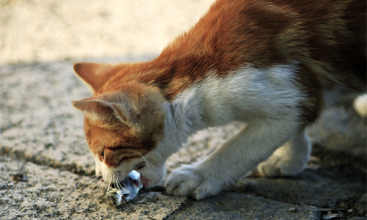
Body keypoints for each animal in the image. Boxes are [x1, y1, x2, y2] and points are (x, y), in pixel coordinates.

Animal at [71, 0, 366, 199]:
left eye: (103, 153)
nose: (99, 177)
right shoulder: (300, 87)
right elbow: (298, 122)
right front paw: (291, 157)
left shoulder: (288, 93)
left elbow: (241, 146)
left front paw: (200, 176)